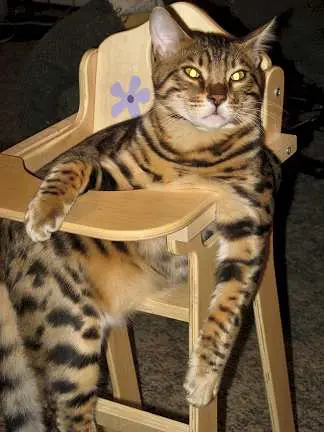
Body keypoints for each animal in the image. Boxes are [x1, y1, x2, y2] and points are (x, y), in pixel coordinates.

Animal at [0, 6, 280, 432]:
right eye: (192, 72)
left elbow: (228, 309)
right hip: (68, 331)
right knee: (68, 411)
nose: (217, 98)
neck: (197, 152)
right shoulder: (115, 174)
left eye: (237, 76)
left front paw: (203, 379)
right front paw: (44, 211)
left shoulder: (248, 226)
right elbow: (72, 164)